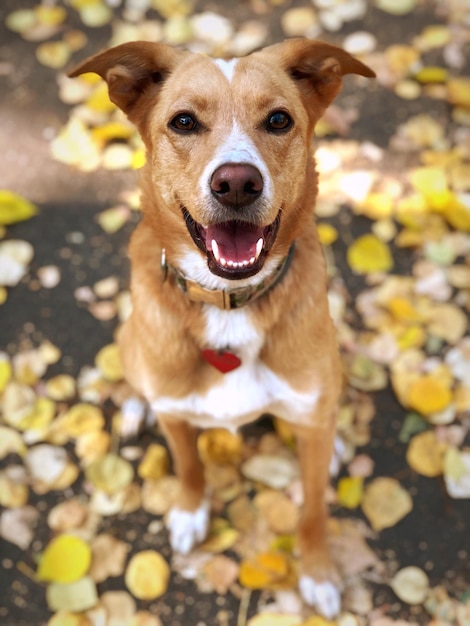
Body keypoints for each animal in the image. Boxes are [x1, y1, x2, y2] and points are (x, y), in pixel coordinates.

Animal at [70, 40, 376, 620]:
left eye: (278, 120)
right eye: (184, 122)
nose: (236, 183)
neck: (231, 305)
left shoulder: (310, 418)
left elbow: (313, 511)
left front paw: (318, 571)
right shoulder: (176, 413)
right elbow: (189, 466)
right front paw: (191, 512)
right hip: (131, 342)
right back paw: (134, 405)